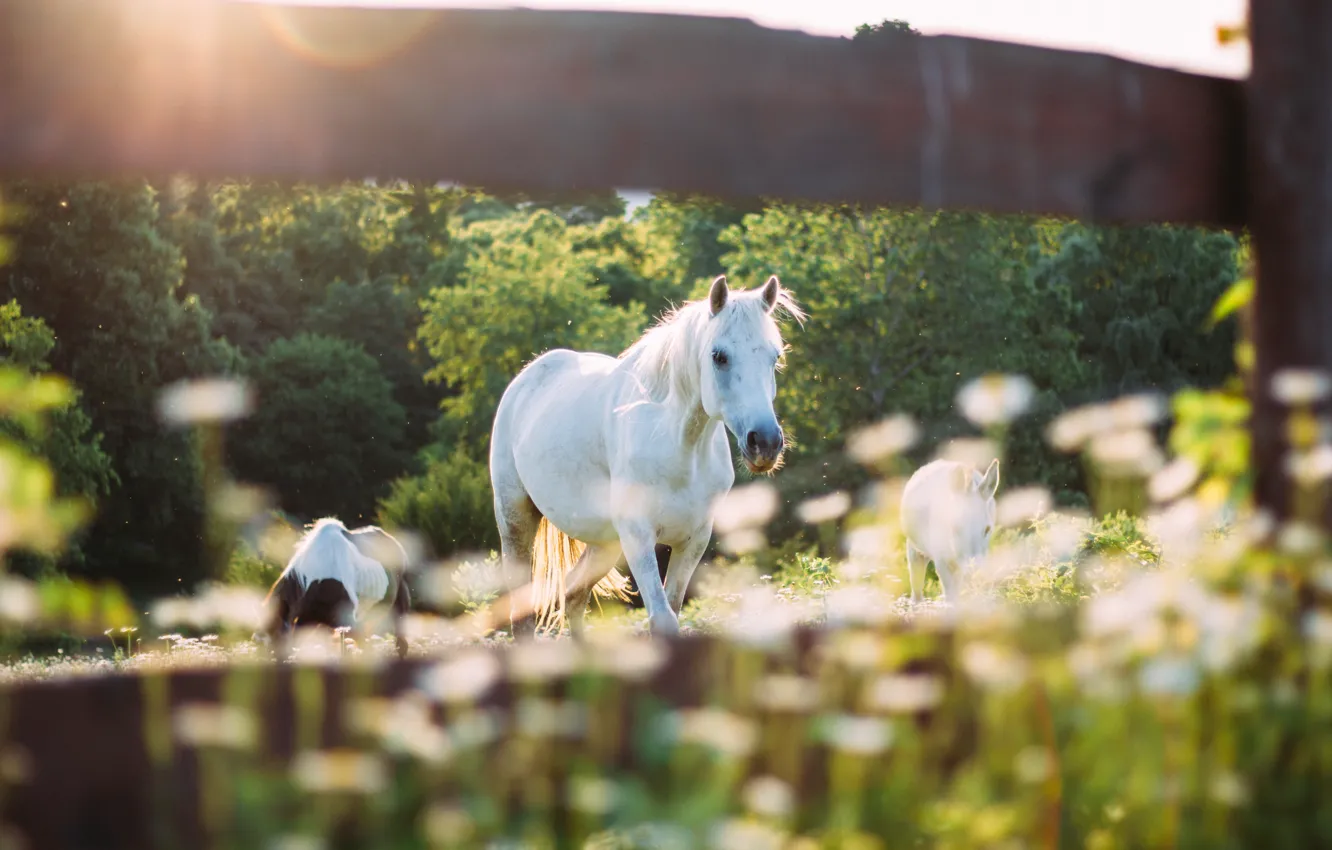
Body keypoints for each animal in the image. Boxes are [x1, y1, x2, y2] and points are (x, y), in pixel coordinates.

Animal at [488, 274, 804, 639]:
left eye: (774, 357)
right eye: (719, 356)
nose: (764, 442)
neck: (678, 449)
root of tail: (527, 378)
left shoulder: (694, 539)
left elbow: (673, 608)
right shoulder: (639, 536)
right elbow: (663, 619)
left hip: (606, 543)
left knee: (574, 594)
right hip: (516, 518)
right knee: (522, 613)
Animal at [899, 458, 1001, 602]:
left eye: (987, 529)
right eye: (955, 527)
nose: (975, 573)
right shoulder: (941, 562)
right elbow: (951, 599)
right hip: (915, 550)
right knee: (917, 590)